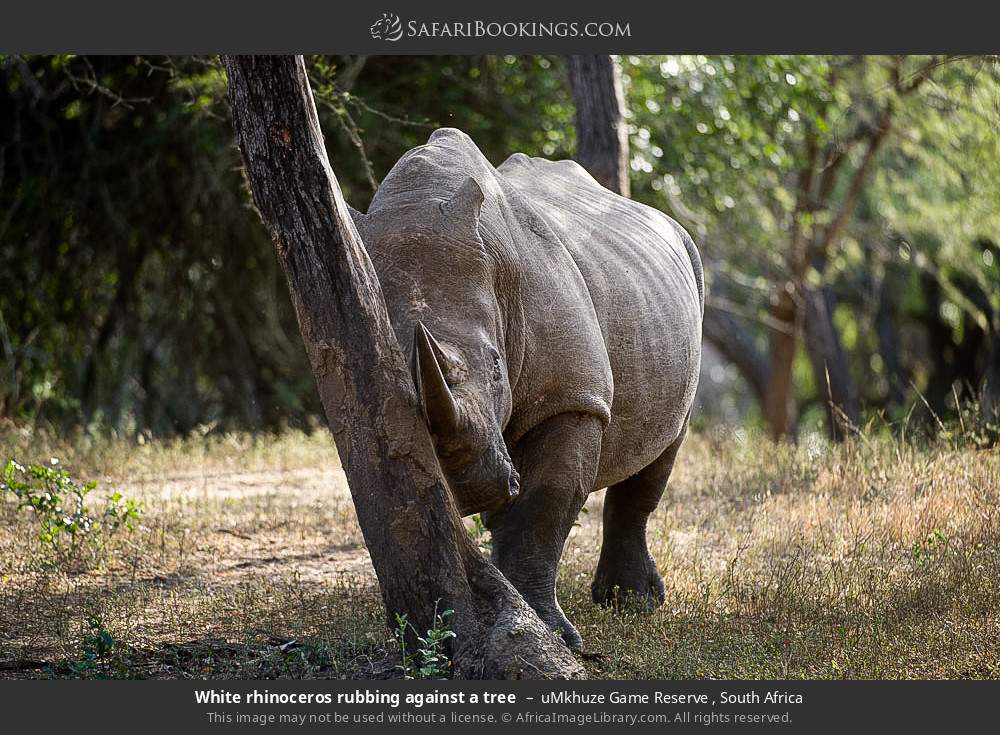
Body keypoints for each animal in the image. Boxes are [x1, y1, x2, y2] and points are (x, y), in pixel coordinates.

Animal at [350, 128, 703, 649]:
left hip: (689, 277)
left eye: (498, 368)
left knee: (666, 444)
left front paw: (552, 638)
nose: (470, 490)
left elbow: (543, 507)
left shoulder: (572, 399)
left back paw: (634, 605)